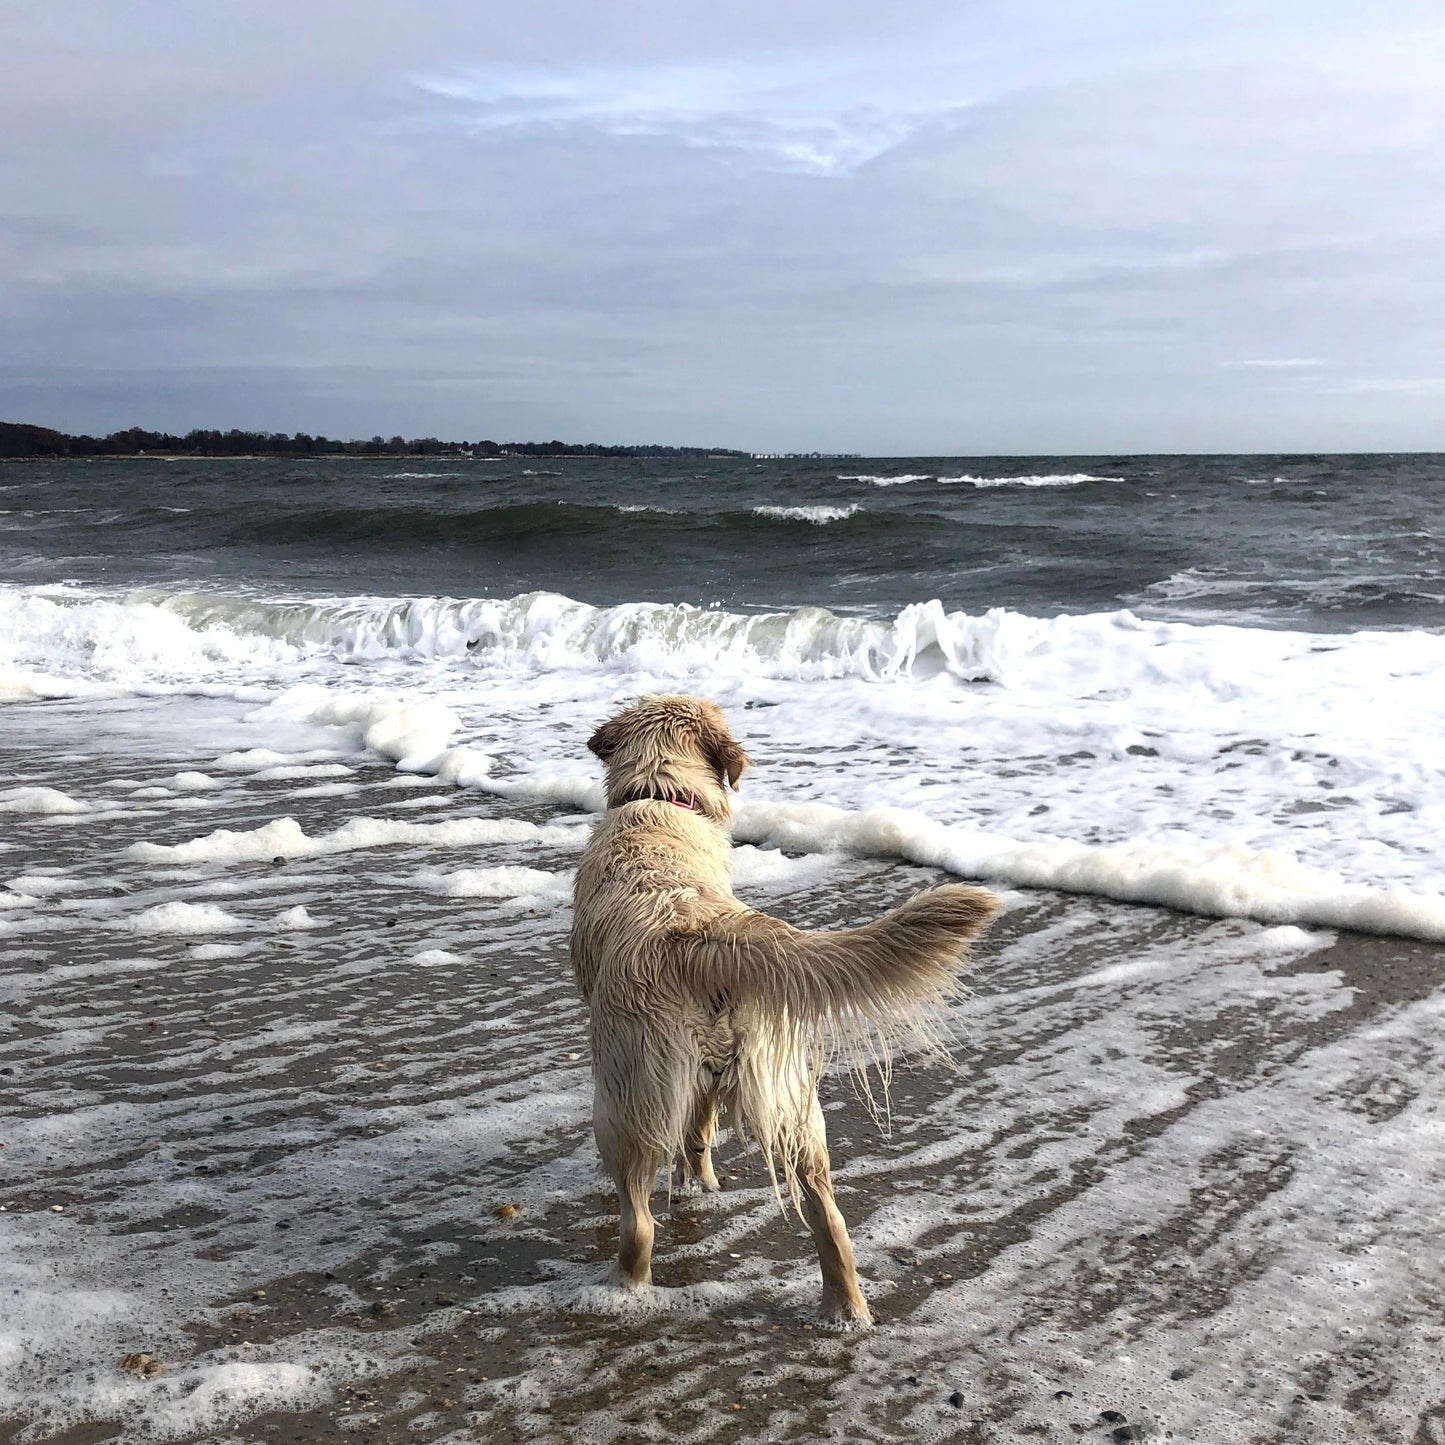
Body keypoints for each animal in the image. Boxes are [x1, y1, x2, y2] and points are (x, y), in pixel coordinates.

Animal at [569, 693, 999, 1323]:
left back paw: (621, 1286)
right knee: (830, 1216)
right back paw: (847, 1309)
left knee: (639, 1220)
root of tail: (704, 935)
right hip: (789, 1097)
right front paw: (701, 1182)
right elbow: (699, 1131)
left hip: (624, 1098)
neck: (660, 798)